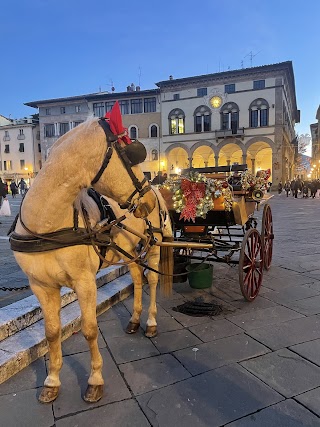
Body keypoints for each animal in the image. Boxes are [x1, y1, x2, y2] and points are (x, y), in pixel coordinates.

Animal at [11, 119, 158, 404]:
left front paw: (95, 380)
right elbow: (51, 333)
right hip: (129, 252)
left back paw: (151, 322)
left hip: (157, 242)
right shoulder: (41, 286)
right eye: (130, 156)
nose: (149, 199)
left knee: (154, 279)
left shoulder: (85, 282)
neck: (46, 225)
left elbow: (89, 329)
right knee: (137, 277)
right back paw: (135, 320)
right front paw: (52, 381)